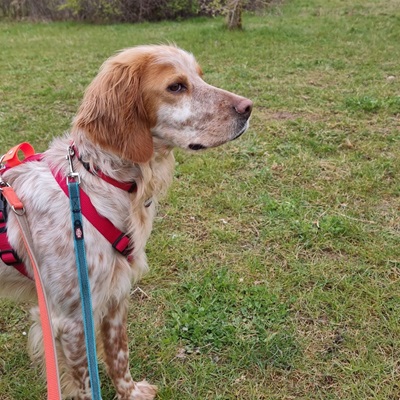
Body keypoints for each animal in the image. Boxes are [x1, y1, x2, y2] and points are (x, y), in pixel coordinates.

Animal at [0, 44, 252, 399]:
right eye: (176, 86)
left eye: (200, 76)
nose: (248, 107)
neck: (100, 183)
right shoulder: (72, 319)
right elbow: (87, 383)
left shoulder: (115, 297)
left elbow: (119, 356)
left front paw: (131, 393)